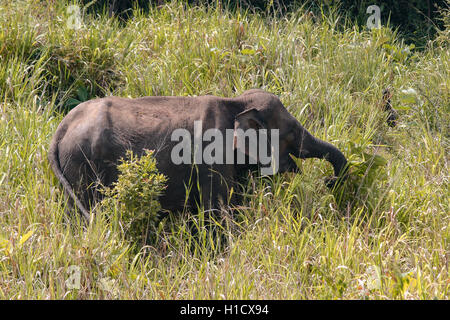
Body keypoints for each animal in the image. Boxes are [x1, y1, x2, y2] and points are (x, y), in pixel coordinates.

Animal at [47, 89, 346, 221]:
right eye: (292, 133)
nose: (329, 182)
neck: (236, 102)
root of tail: (61, 129)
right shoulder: (212, 159)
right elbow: (218, 211)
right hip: (83, 165)